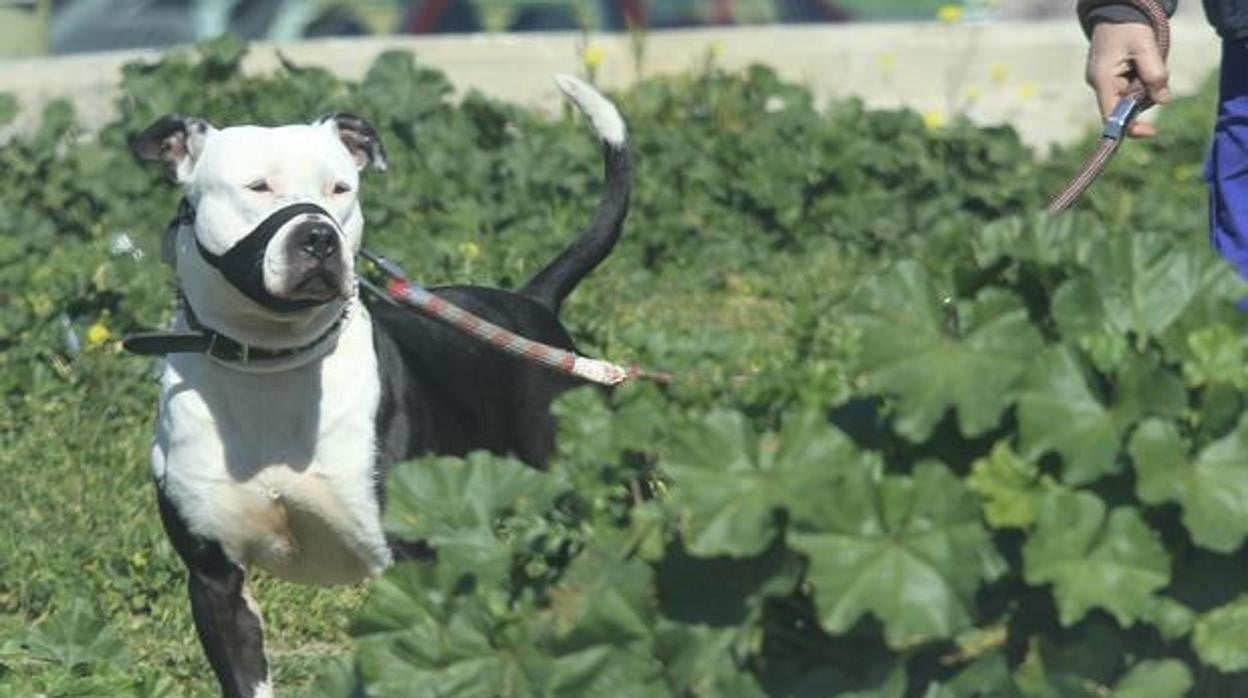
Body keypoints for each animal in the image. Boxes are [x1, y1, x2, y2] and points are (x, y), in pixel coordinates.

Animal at [131, 73, 628, 694]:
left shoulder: (410, 559)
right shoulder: (214, 578)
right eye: (257, 186)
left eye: (341, 187)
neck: (270, 366)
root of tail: (532, 303)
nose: (318, 237)